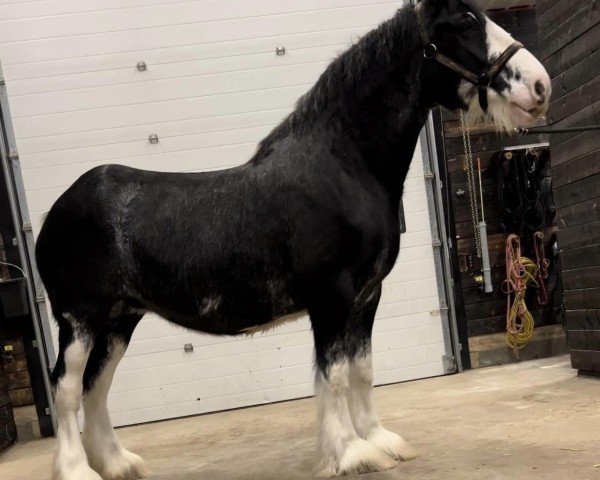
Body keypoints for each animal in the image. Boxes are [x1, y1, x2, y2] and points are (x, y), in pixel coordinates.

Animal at [34, 1, 548, 478]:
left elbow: (362, 371)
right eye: (462, 21)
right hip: (81, 320)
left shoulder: (367, 297)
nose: (539, 86)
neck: (343, 166)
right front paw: (351, 454)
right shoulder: (332, 297)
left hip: (119, 321)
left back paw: (117, 463)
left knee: (96, 387)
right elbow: (334, 375)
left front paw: (380, 441)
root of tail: (56, 212)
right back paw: (77, 469)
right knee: (66, 388)